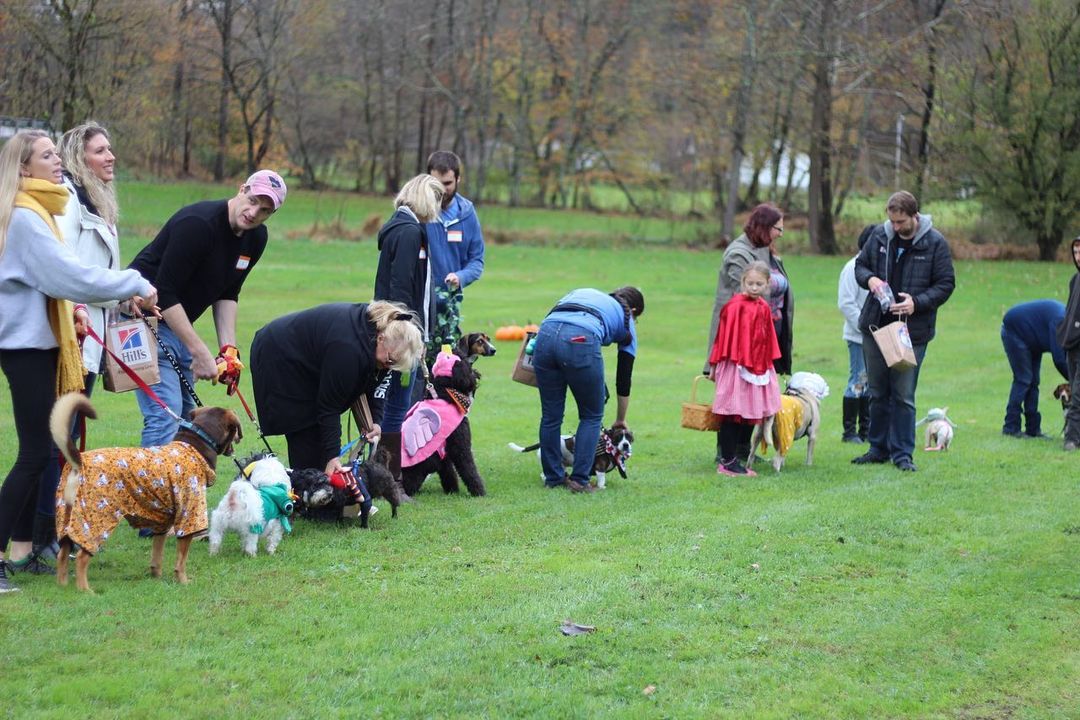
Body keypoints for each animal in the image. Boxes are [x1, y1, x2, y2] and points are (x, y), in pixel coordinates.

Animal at [51, 395, 241, 591]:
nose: (239, 439)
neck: (196, 444)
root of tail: (79, 461)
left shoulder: (162, 523)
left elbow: (157, 555)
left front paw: (157, 577)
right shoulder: (189, 516)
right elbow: (181, 560)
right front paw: (183, 581)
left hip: (66, 519)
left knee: (62, 554)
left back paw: (62, 586)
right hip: (95, 521)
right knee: (81, 557)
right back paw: (85, 590)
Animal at [401, 351, 486, 498]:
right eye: (467, 366)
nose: (477, 374)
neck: (443, 394)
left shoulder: (444, 451)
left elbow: (449, 472)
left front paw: (452, 491)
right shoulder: (460, 447)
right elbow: (469, 469)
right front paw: (479, 491)